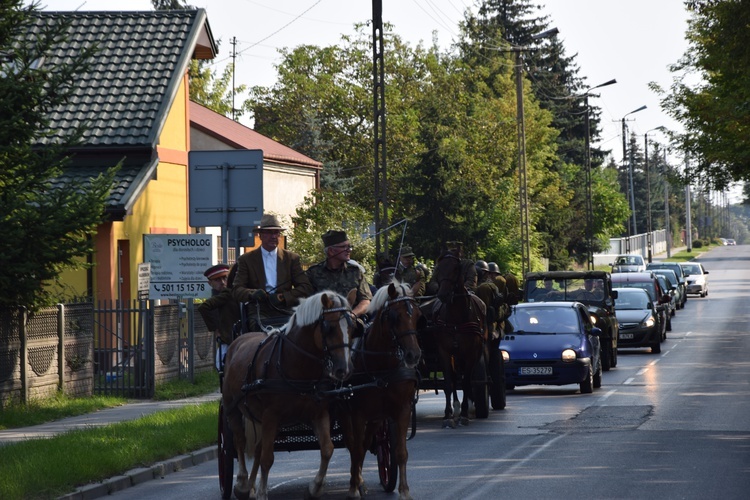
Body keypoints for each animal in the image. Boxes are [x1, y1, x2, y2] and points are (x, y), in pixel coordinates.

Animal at [222, 290, 356, 500]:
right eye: (329, 328)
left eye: (353, 328)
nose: (344, 369)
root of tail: (237, 341)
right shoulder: (271, 415)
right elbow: (267, 458)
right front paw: (262, 492)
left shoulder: (318, 413)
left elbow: (327, 449)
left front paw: (315, 487)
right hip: (232, 409)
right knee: (240, 442)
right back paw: (243, 484)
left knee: (258, 447)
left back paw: (251, 485)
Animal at [340, 282, 424, 500]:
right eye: (394, 316)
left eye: (417, 315)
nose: (413, 355)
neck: (381, 367)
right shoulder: (358, 414)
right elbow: (356, 449)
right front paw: (353, 488)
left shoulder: (402, 410)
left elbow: (401, 452)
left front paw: (404, 490)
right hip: (346, 413)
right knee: (354, 445)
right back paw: (356, 482)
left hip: (377, 418)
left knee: (365, 443)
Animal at [426, 250, 490, 426]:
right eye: (438, 269)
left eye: (456, 269)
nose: (443, 295)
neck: (455, 318)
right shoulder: (444, 352)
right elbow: (449, 382)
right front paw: (448, 415)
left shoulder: (471, 352)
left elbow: (467, 381)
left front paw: (464, 414)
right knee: (456, 378)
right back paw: (455, 407)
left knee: (467, 377)